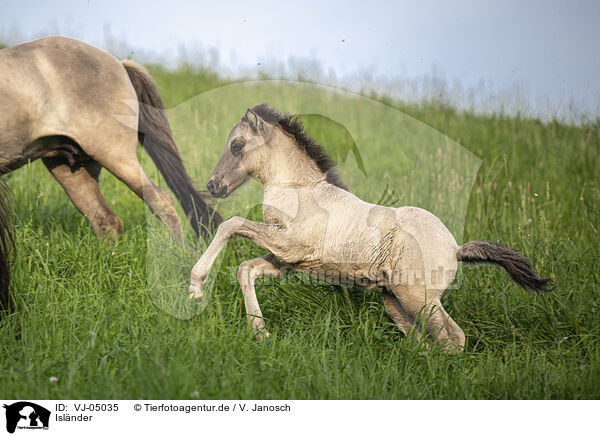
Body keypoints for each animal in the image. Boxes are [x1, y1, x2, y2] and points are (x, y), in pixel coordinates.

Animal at [189, 103, 552, 350]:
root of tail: (455, 247)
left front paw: (195, 287)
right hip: (395, 301)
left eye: (236, 145)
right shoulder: (289, 259)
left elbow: (231, 225)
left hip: (420, 298)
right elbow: (246, 269)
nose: (214, 185)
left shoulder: (290, 244)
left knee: (453, 337)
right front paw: (260, 333)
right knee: (423, 340)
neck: (299, 189)